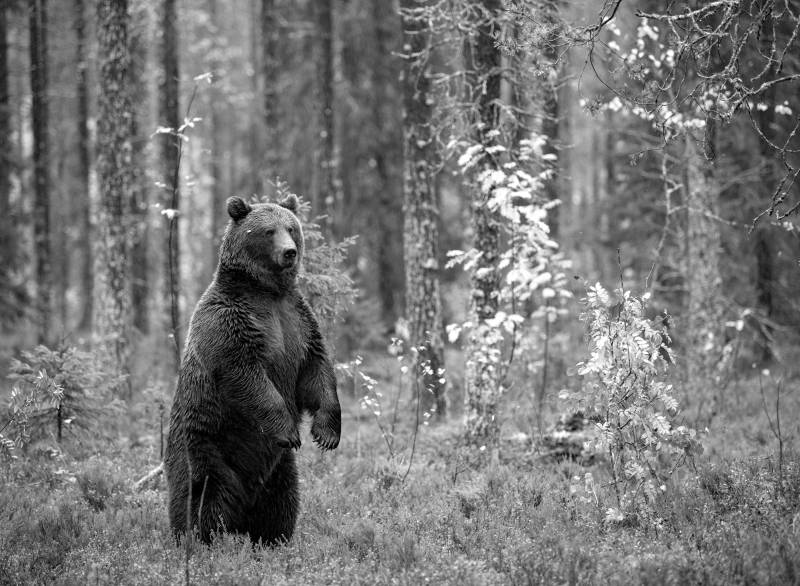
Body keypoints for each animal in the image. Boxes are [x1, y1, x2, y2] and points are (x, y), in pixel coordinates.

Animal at [164, 193, 341, 545]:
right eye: (268, 231)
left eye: (291, 227)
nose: (290, 252)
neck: (266, 292)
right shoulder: (229, 324)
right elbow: (246, 376)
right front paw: (289, 430)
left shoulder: (298, 322)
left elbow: (316, 370)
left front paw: (326, 433)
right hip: (207, 449)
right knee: (204, 499)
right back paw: (200, 540)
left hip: (278, 468)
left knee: (282, 501)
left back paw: (272, 539)